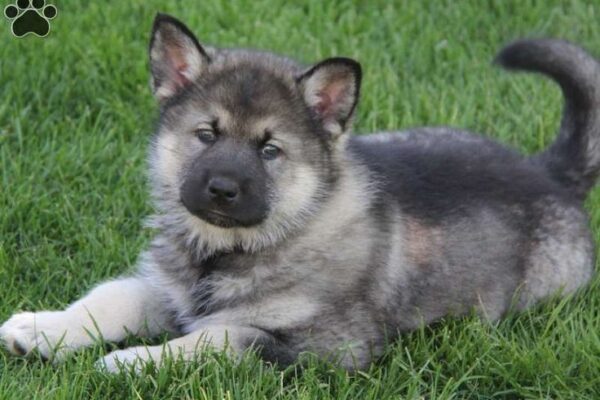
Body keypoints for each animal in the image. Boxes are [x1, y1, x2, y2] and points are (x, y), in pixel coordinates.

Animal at [1, 15, 600, 372]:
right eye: (206, 134)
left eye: (270, 149)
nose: (221, 189)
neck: (234, 250)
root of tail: (547, 172)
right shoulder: (168, 290)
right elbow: (109, 297)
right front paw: (42, 329)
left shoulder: (324, 345)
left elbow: (216, 338)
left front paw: (132, 362)